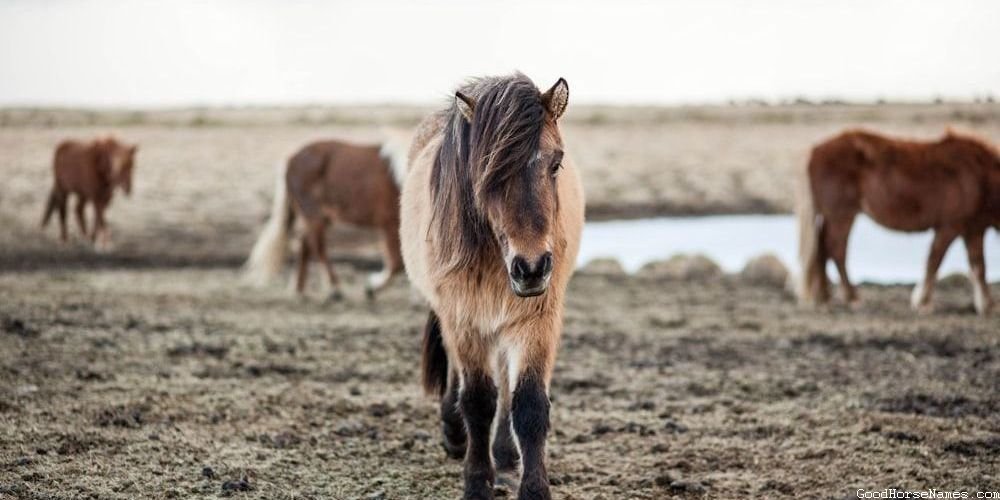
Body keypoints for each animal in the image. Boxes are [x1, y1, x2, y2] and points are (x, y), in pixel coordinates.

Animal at [245, 139, 406, 298]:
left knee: (306, 245)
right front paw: (371, 288)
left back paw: (299, 289)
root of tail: (291, 159)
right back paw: (334, 288)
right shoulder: (390, 224)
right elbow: (398, 264)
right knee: (317, 246)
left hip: (319, 218)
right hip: (315, 216)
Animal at [400, 72, 584, 498]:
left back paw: (504, 454)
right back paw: (455, 434)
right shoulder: (464, 319)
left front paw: (533, 489)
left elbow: (529, 404)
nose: (531, 268)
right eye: (489, 172)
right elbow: (478, 401)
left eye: (556, 163)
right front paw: (477, 483)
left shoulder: (537, 319)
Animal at [796, 130, 1000, 316]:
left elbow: (979, 266)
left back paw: (824, 298)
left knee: (823, 249)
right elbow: (935, 261)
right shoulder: (950, 226)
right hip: (841, 215)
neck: (979, 176)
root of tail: (815, 151)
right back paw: (849, 298)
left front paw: (987, 305)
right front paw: (923, 302)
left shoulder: (974, 229)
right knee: (836, 250)